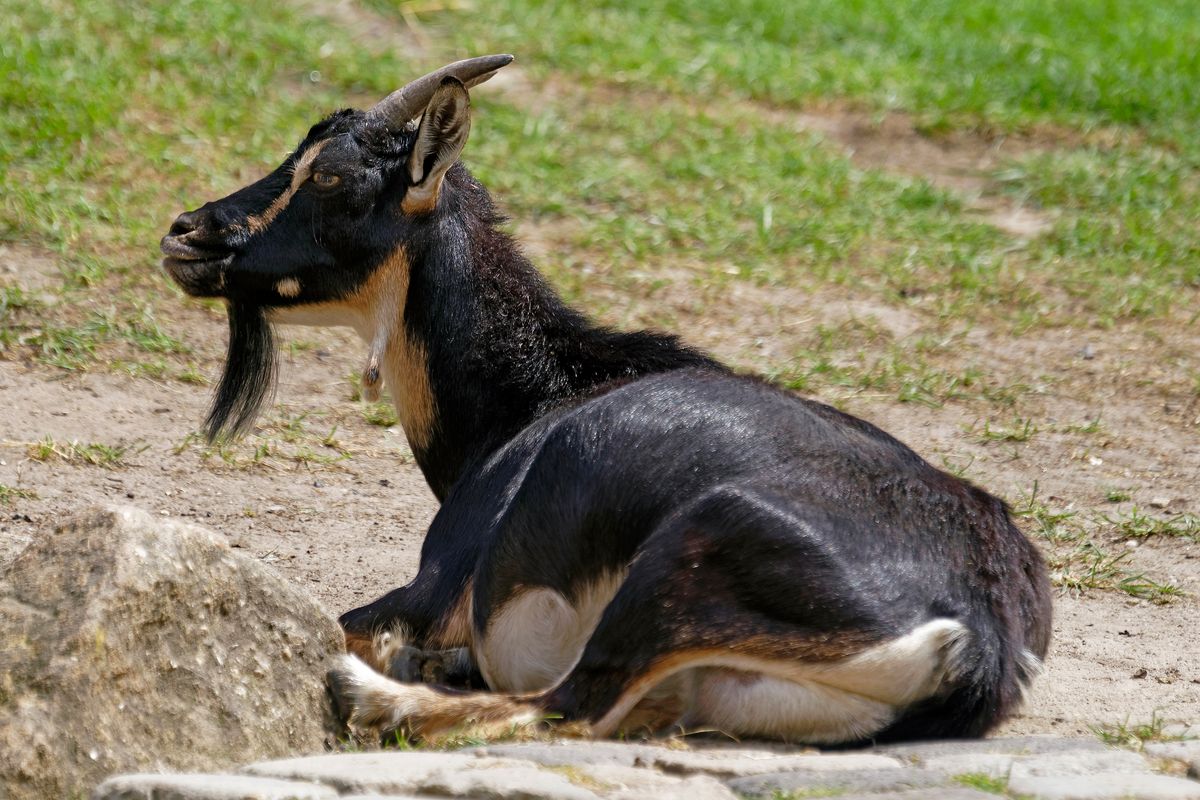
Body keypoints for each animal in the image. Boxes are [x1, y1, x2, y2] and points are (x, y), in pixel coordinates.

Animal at [159, 54, 1051, 743]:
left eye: (333, 176)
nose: (187, 233)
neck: (542, 392)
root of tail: (980, 634)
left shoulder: (439, 584)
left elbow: (343, 618)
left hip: (685, 559)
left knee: (565, 707)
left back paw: (375, 696)